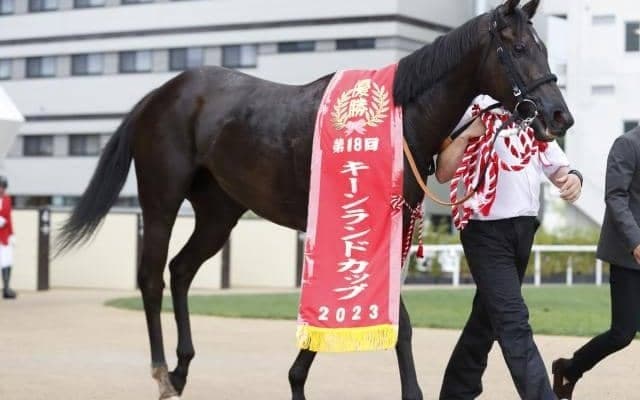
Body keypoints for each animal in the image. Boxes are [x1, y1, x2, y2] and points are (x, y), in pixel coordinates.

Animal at [58, 0, 573, 398]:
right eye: (520, 48)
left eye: (545, 47)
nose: (559, 116)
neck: (401, 116)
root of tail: (158, 94)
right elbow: (398, 320)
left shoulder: (390, 228)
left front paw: (297, 378)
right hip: (161, 199)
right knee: (151, 277)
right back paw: (163, 372)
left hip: (219, 210)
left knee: (181, 269)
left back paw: (183, 369)